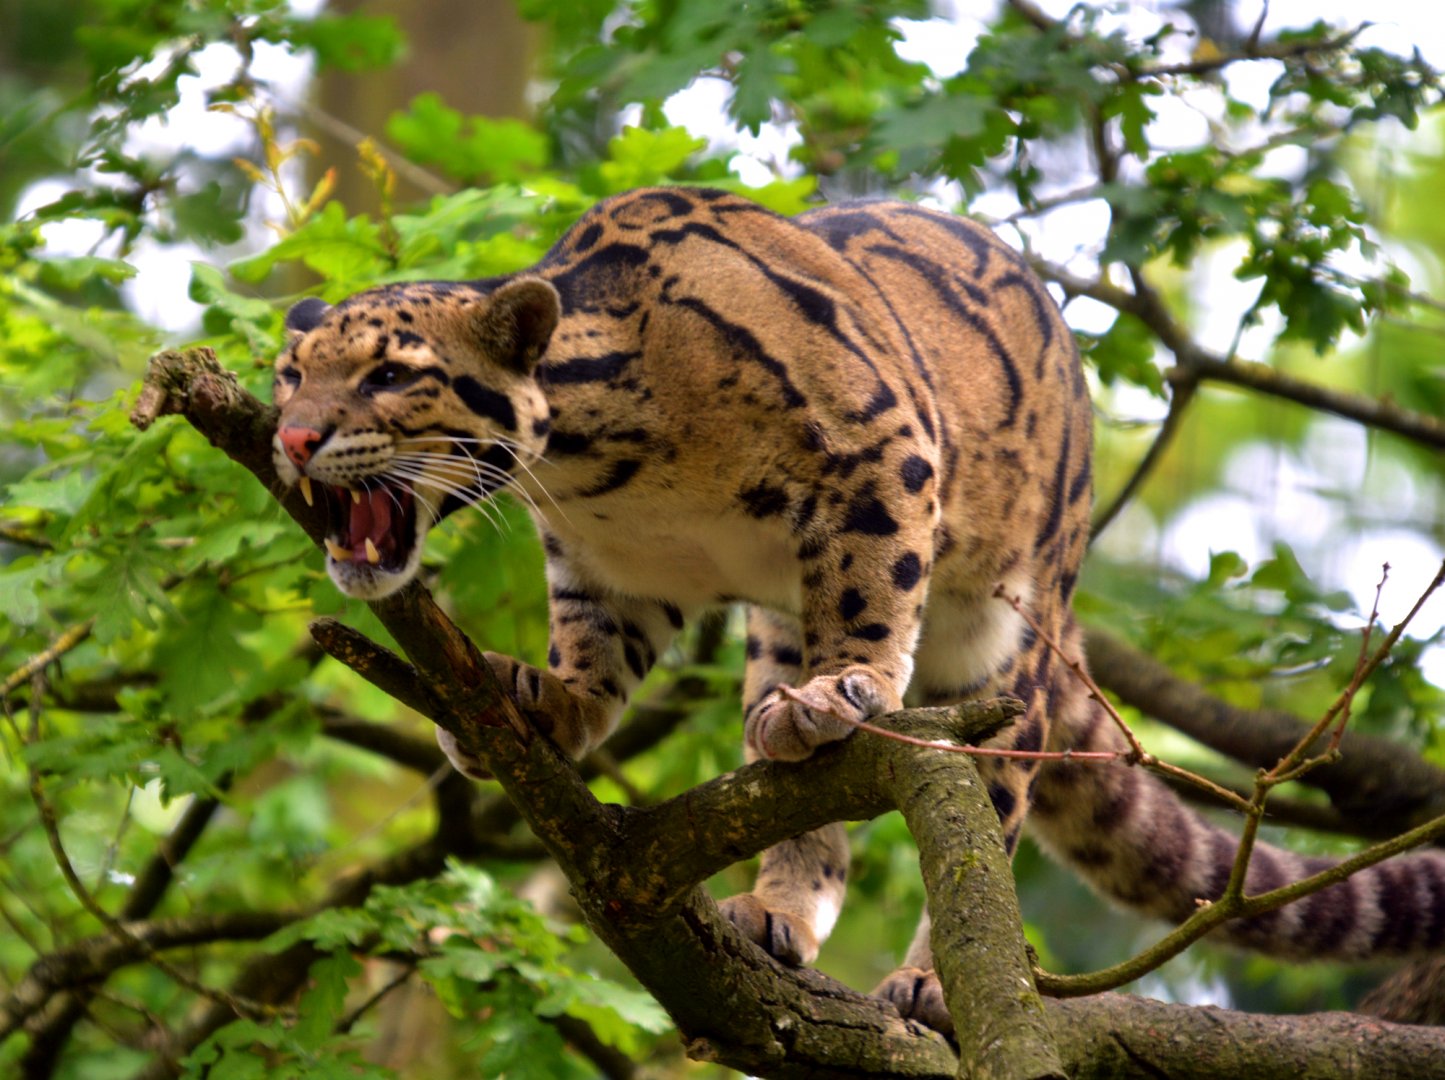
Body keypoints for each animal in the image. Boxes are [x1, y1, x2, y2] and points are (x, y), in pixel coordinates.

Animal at [272, 185, 1445, 1035]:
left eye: (391, 374)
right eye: (288, 373)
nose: (287, 438)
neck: (594, 465)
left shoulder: (879, 448)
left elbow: (872, 593)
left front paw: (856, 678)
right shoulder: (606, 569)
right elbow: (596, 651)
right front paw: (542, 700)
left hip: (1009, 636)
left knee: (985, 813)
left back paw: (931, 973)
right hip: (776, 628)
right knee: (795, 793)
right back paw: (777, 902)